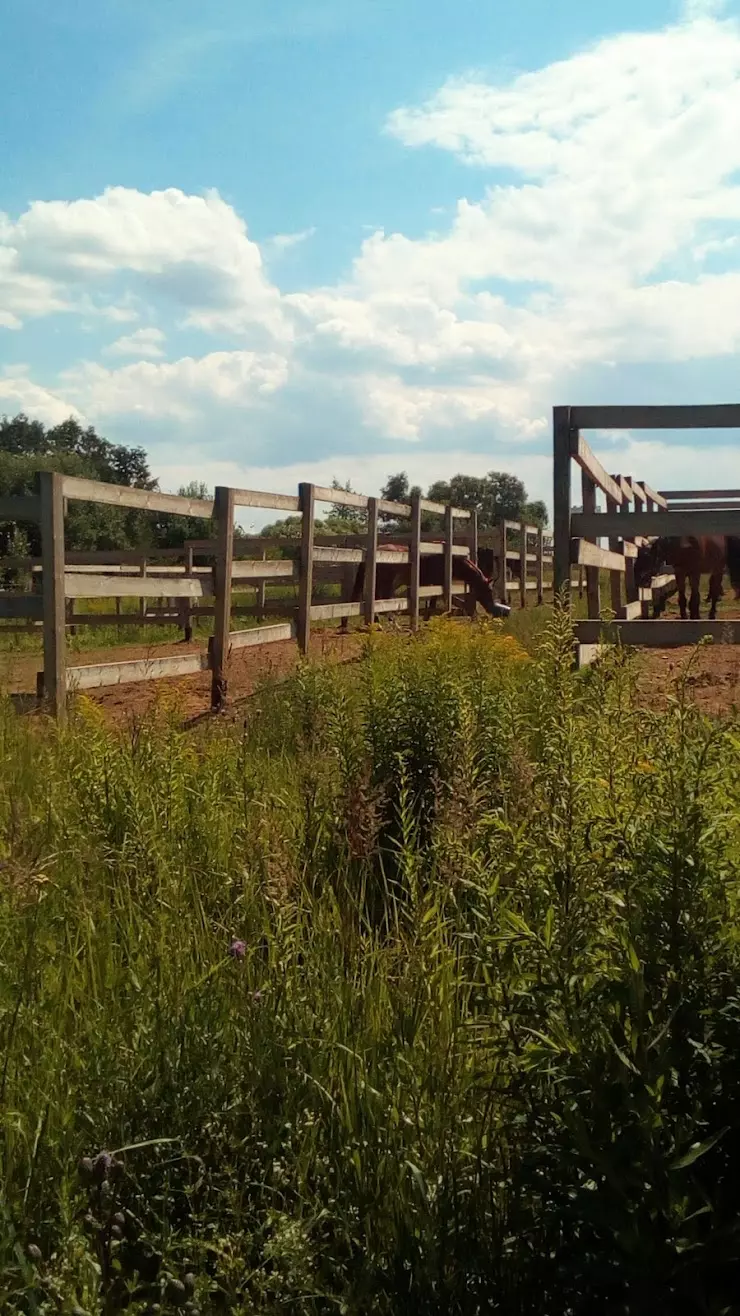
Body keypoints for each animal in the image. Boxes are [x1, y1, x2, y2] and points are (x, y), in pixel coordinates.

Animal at [339, 542, 505, 629]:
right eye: (488, 591)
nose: (492, 608)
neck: (450, 561)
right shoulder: (437, 584)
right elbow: (433, 601)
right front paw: (428, 618)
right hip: (386, 581)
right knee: (380, 599)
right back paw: (389, 623)